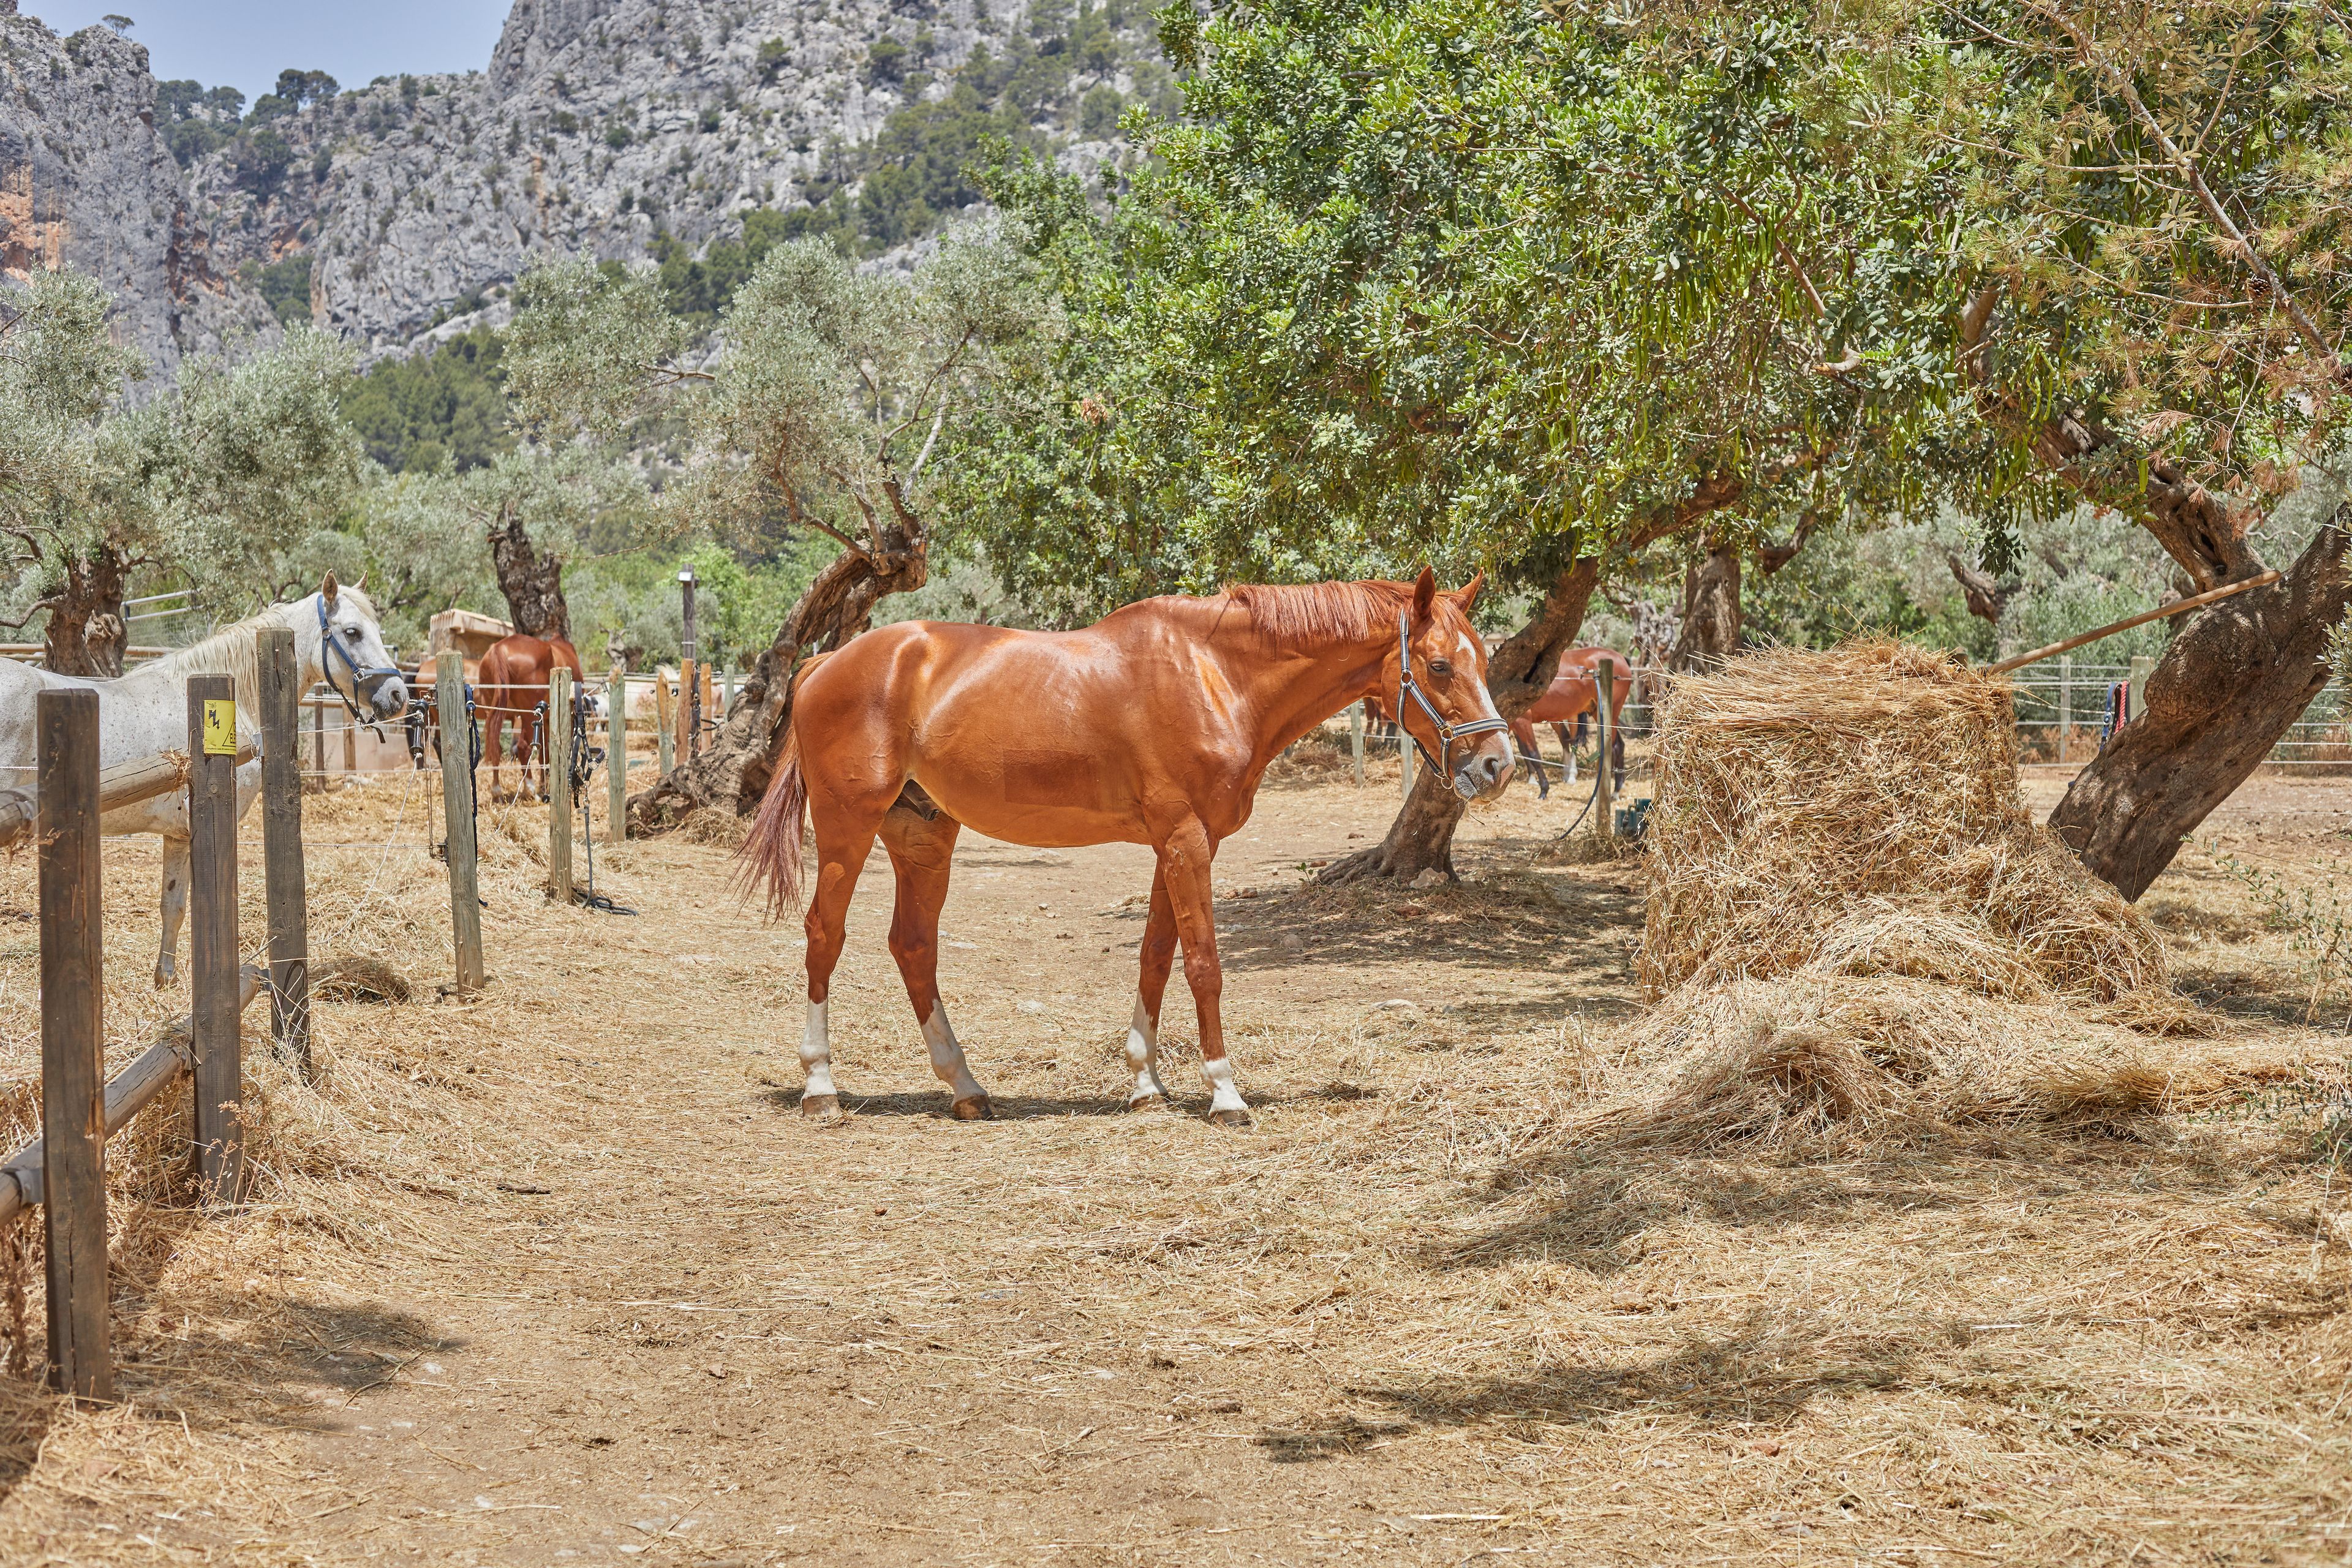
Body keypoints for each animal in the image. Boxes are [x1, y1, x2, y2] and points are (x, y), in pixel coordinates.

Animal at [476, 633, 583, 800]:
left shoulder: (545, 721)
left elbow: (544, 755)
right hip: (528, 716)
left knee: (496, 748)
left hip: (495, 712)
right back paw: (531, 790)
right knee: (523, 748)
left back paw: (497, 792)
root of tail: (499, 649)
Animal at [741, 569, 1513, 1129]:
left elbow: (1155, 958)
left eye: (1483, 658)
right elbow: (1203, 965)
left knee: (913, 946)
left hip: (923, 836)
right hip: (847, 828)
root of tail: (826, 661)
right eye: (1439, 666)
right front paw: (1225, 1093)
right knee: (824, 935)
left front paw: (1146, 1082)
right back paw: (821, 1086)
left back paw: (965, 1086)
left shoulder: (1176, 845)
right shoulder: (1186, 842)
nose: (1498, 764)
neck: (1215, 676)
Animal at [1508, 646, 1633, 799]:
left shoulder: (1523, 721)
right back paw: (1615, 791)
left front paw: (1544, 789)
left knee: (1613, 748)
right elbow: (1522, 751)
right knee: (1619, 746)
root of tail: (1621, 658)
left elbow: (1533, 754)